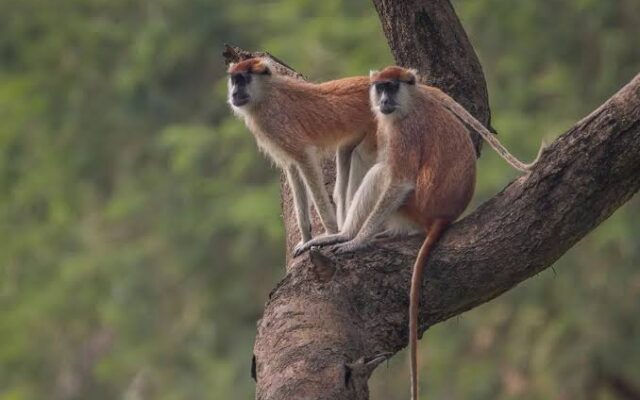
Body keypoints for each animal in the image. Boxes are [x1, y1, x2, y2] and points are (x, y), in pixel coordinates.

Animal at [227, 57, 377, 254]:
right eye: (233, 80)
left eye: (242, 80)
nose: (234, 93)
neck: (266, 94)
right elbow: (292, 168)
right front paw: (306, 238)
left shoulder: (275, 123)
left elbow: (305, 160)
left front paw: (330, 233)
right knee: (345, 153)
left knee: (363, 155)